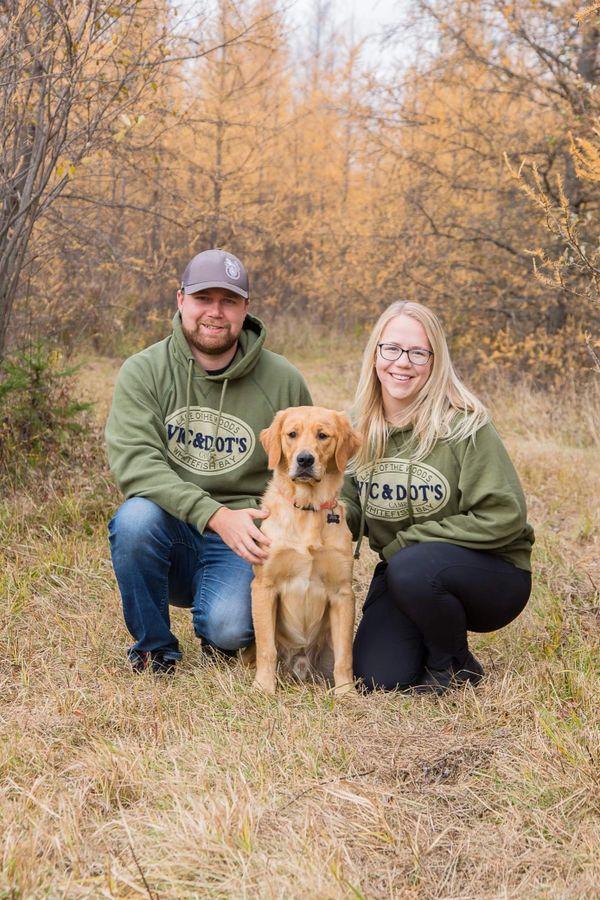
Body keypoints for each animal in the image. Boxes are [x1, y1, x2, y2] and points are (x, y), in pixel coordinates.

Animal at [250, 408, 360, 696]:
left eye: (323, 435)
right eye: (292, 434)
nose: (305, 459)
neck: (308, 509)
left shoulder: (342, 593)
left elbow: (345, 655)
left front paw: (346, 692)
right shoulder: (264, 586)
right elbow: (267, 649)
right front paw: (263, 687)